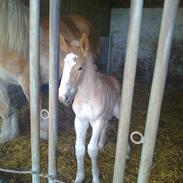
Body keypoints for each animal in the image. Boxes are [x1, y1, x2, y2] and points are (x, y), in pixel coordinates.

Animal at [0, 0, 100, 143]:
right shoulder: (1, 82)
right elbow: (5, 109)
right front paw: (7, 134)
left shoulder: (29, 81)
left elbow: (37, 110)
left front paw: (43, 133)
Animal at [58, 33, 130, 183]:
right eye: (62, 64)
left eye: (80, 67)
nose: (62, 96)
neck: (87, 97)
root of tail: (113, 80)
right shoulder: (80, 121)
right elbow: (79, 149)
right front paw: (79, 177)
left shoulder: (97, 121)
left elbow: (91, 149)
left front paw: (96, 177)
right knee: (107, 124)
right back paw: (101, 145)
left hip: (117, 111)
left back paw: (126, 152)